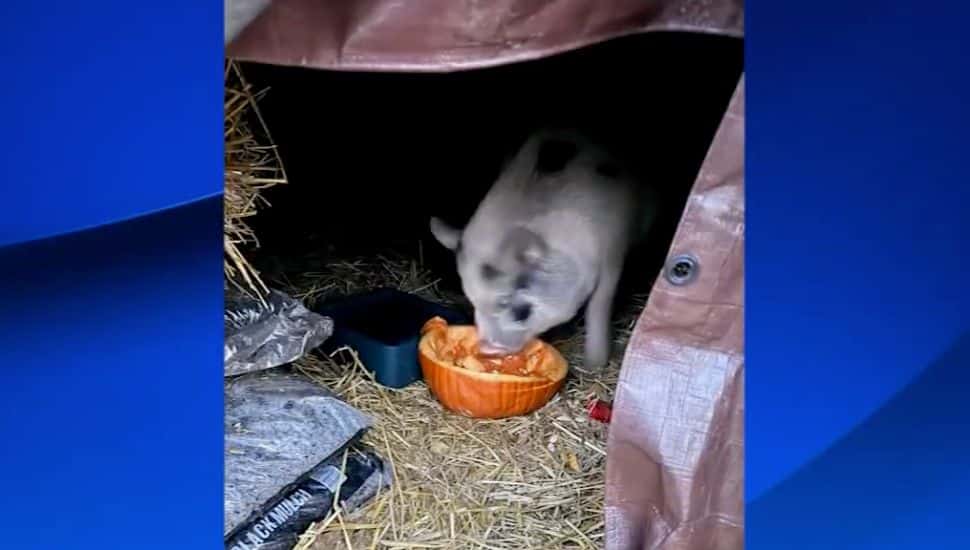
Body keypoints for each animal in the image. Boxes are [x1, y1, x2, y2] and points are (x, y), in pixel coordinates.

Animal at [432, 127, 656, 374]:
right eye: (472, 301)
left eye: (522, 311)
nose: (489, 349)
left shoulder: (613, 252)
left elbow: (599, 306)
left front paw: (593, 366)